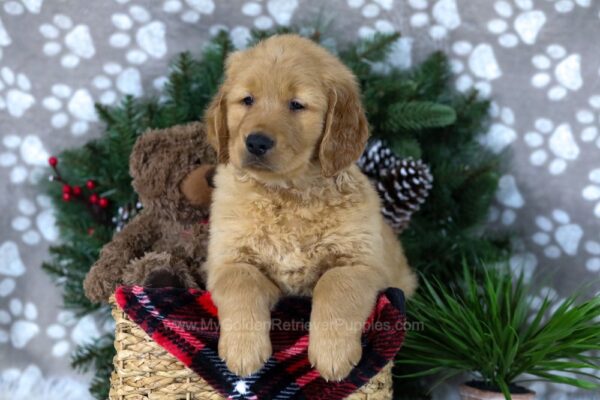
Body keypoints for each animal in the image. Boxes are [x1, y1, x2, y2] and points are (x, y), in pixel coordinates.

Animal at [203, 35, 418, 382]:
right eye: (247, 100)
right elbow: (241, 283)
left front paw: (333, 355)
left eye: (296, 104)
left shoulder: (360, 264)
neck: (289, 193)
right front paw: (243, 351)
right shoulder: (227, 259)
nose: (256, 142)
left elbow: (335, 286)